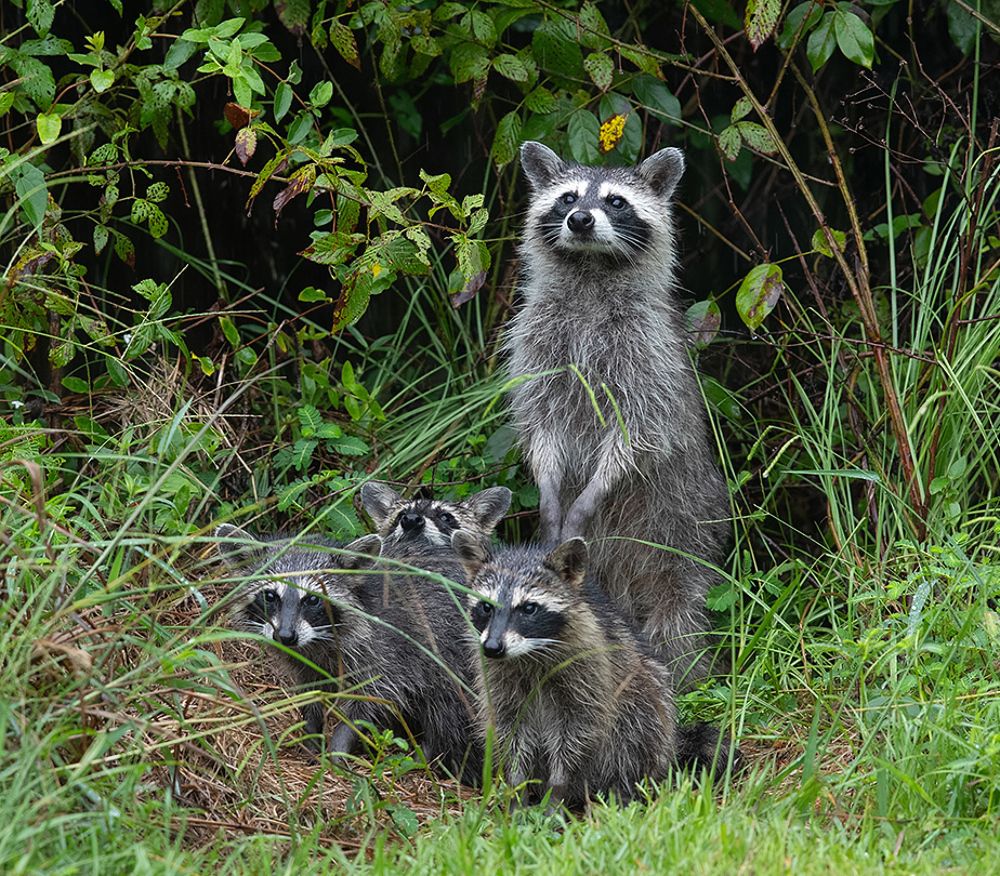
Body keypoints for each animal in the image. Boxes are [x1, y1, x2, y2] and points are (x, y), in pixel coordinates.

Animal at [217, 524, 481, 781]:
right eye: (270, 596)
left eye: (312, 599)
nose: (285, 636)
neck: (316, 642)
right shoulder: (306, 662)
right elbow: (311, 693)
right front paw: (311, 733)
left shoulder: (386, 653)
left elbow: (368, 702)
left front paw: (339, 746)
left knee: (448, 711)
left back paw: (424, 756)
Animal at [451, 532, 678, 809]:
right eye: (486, 606)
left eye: (528, 608)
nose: (493, 648)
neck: (529, 653)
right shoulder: (499, 682)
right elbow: (509, 730)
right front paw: (516, 787)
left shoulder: (589, 671)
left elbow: (576, 731)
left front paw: (556, 790)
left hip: (645, 691)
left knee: (636, 725)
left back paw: (622, 787)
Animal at [504, 141, 730, 685]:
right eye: (567, 198)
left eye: (615, 201)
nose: (581, 219)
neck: (591, 270)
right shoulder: (537, 344)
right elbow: (541, 424)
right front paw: (548, 486)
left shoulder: (649, 356)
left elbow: (637, 433)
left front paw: (593, 491)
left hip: (684, 526)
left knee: (679, 607)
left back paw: (683, 673)